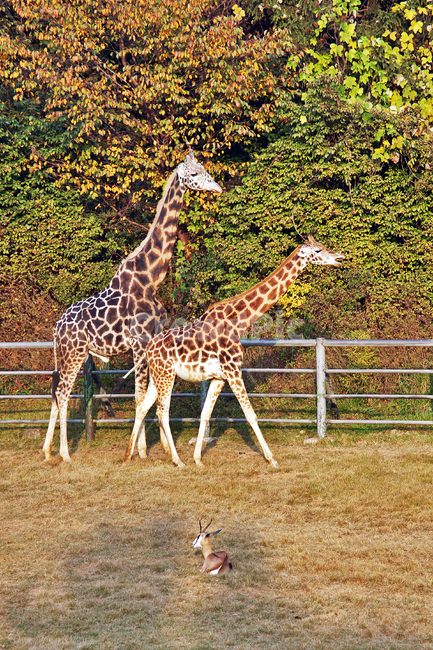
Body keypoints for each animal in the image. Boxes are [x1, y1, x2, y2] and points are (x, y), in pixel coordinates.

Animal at [43, 151, 222, 462]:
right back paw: (65, 453)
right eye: (194, 174)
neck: (150, 278)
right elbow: (140, 396)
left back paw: (47, 450)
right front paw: (141, 451)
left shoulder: (153, 342)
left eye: (205, 169)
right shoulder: (139, 342)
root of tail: (56, 327)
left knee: (55, 392)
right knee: (63, 392)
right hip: (75, 352)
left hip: (65, 355)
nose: (217, 187)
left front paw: (161, 447)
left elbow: (152, 395)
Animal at [124, 235, 344, 467]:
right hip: (166, 375)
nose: (340, 258)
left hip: (157, 376)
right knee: (162, 411)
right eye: (318, 250)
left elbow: (205, 414)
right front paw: (272, 459)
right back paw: (176, 460)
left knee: (142, 407)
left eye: (323, 246)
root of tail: (148, 349)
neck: (240, 321)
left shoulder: (220, 377)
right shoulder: (233, 371)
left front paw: (198, 459)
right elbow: (250, 414)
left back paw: (130, 454)